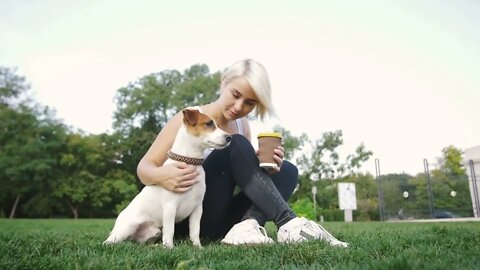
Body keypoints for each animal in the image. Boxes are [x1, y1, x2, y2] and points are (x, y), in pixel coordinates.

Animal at [103, 106, 232, 248]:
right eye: (208, 124)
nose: (229, 137)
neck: (190, 162)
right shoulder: (170, 206)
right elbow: (170, 230)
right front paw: (170, 248)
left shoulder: (197, 208)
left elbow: (195, 231)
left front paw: (197, 247)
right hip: (126, 229)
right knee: (109, 242)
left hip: (155, 232)